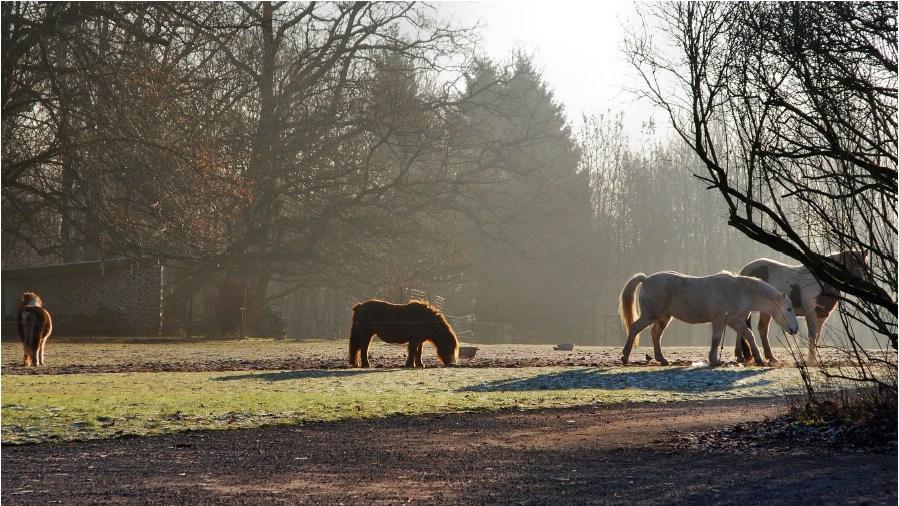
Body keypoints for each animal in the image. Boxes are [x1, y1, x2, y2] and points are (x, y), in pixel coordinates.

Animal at [620, 270, 800, 366]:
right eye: (789, 309)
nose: (795, 328)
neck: (740, 291)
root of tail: (646, 279)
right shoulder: (719, 320)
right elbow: (716, 339)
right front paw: (714, 360)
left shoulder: (736, 322)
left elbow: (749, 336)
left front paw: (759, 359)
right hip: (650, 315)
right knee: (634, 328)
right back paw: (625, 357)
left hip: (663, 317)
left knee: (655, 334)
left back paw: (662, 359)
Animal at [740, 249, 872, 364]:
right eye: (851, 263)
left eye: (865, 265)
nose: (865, 285)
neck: (821, 282)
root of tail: (744, 271)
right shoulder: (810, 313)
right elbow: (812, 336)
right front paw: (812, 360)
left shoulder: (822, 315)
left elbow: (817, 337)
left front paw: (815, 360)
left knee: (759, 329)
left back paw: (763, 357)